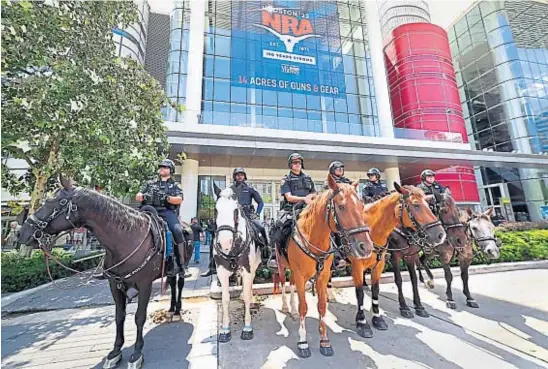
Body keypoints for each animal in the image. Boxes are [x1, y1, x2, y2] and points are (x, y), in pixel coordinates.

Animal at [18, 176, 184, 368]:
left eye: (54, 202)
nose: (21, 233)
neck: (126, 239)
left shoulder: (145, 285)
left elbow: (139, 317)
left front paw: (137, 353)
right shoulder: (114, 284)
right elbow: (119, 316)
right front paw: (115, 352)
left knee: (179, 284)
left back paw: (177, 310)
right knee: (172, 283)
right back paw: (171, 309)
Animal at [212, 184, 262, 342]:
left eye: (236, 210)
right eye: (216, 209)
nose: (224, 242)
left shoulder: (247, 270)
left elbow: (245, 296)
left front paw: (247, 327)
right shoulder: (222, 273)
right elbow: (225, 299)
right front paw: (225, 329)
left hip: (254, 267)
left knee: (250, 285)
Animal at [274, 174, 372, 358]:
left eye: (361, 206)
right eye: (341, 207)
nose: (366, 247)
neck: (313, 238)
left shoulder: (323, 275)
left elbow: (321, 306)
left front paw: (325, 341)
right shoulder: (300, 275)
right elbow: (304, 307)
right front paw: (303, 342)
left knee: (291, 285)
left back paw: (292, 310)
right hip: (282, 265)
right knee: (283, 283)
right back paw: (285, 306)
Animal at [388, 188, 468, 318]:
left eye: (458, 211)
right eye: (444, 210)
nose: (460, 239)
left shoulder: (412, 255)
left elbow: (414, 278)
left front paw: (419, 306)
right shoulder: (395, 257)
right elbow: (398, 280)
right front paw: (404, 307)